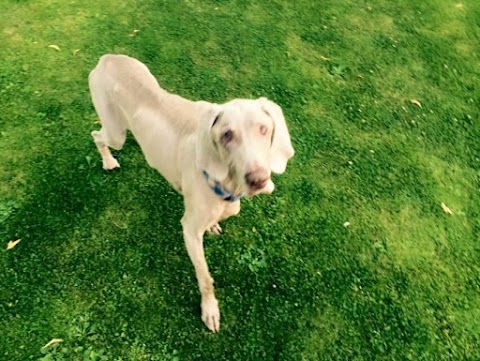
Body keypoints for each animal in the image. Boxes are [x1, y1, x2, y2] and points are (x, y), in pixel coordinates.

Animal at [88, 54, 294, 332]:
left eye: (264, 129)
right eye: (227, 135)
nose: (258, 180)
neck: (228, 184)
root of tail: (107, 58)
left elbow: (222, 215)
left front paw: (214, 225)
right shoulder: (189, 229)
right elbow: (205, 276)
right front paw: (210, 310)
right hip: (114, 131)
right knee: (97, 135)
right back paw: (108, 161)